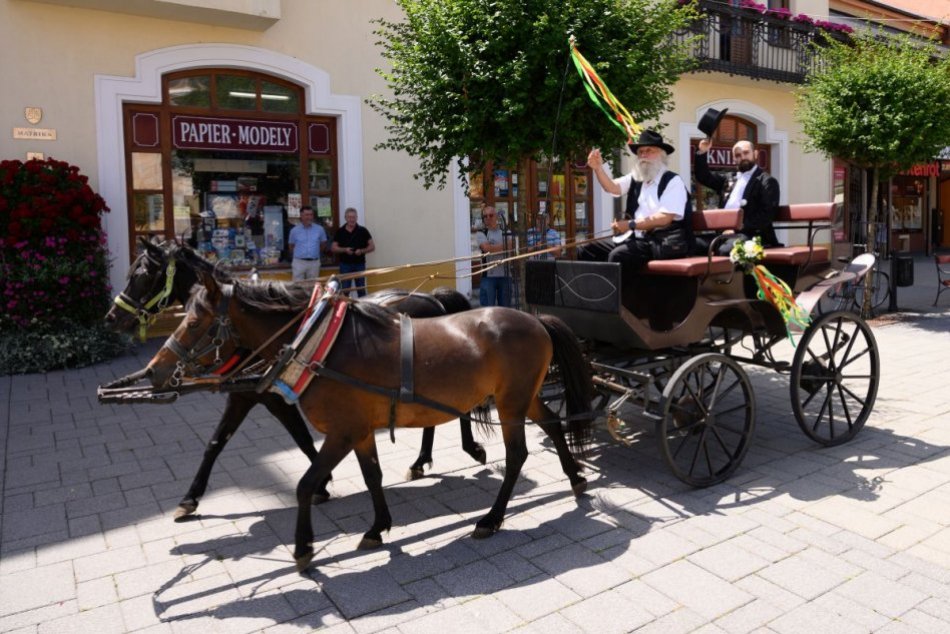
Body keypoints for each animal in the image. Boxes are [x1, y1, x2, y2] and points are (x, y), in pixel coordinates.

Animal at [146, 266, 596, 568]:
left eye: (195, 321)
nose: (153, 371)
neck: (319, 343)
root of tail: (534, 318)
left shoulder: (342, 432)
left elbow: (304, 483)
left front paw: (305, 546)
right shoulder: (360, 432)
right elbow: (372, 476)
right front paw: (378, 527)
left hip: (510, 404)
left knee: (517, 454)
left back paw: (492, 517)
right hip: (521, 399)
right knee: (552, 425)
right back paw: (575, 477)